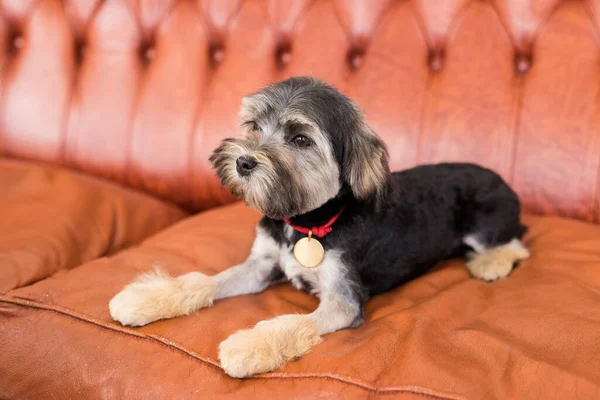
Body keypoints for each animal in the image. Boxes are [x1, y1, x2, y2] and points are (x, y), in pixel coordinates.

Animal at [109, 77, 528, 378]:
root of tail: (503, 180)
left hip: (485, 221)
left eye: (300, 139)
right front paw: (147, 298)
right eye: (254, 125)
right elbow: (205, 280)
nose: (243, 161)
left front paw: (247, 347)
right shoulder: (261, 265)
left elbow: (290, 323)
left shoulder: (343, 300)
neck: (304, 223)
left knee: (517, 242)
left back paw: (490, 263)